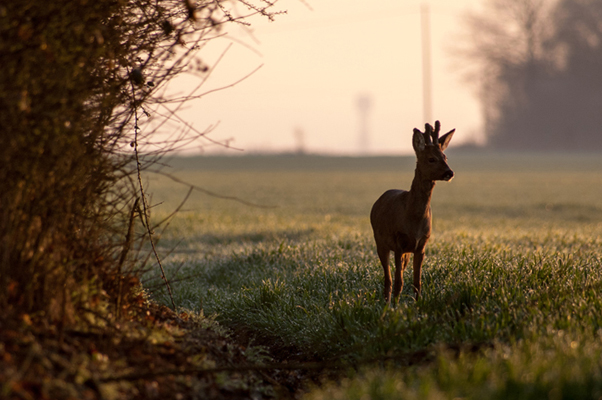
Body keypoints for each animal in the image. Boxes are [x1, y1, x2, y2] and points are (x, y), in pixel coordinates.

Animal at [368, 122, 452, 304]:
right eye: (431, 158)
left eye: (445, 157)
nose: (450, 173)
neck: (413, 218)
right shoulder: (398, 241)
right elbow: (399, 281)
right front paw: (395, 306)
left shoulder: (421, 245)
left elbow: (416, 281)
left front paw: (418, 303)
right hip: (380, 242)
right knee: (388, 277)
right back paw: (386, 302)